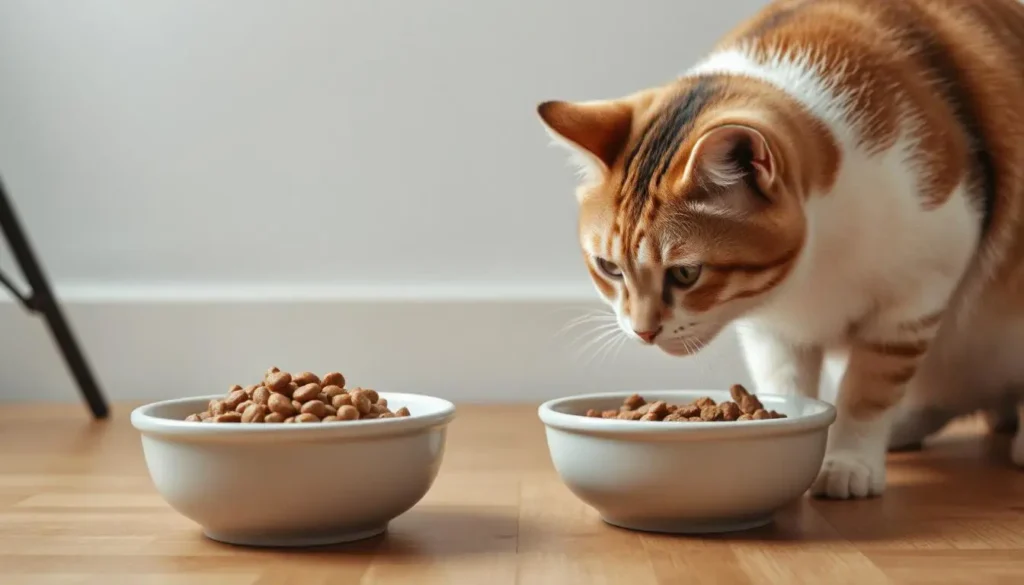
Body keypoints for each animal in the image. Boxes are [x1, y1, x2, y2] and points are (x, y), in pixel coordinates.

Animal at [536, 0, 1024, 499]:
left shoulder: (915, 298)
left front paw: (849, 460)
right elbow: (788, 382)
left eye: (686, 273)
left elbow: (869, 389)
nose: (643, 332)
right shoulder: (774, 331)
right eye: (609, 267)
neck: (810, 269)